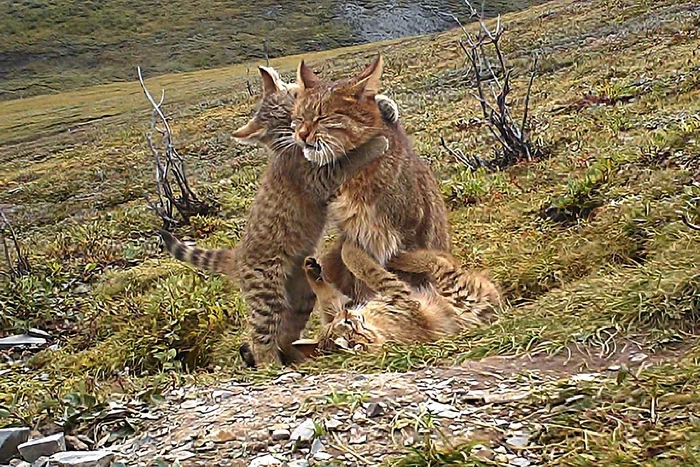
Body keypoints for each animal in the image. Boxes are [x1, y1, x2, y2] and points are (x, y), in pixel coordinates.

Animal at [160, 66, 400, 366]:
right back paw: (270, 366)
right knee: (261, 337)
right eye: (286, 121)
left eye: (296, 102)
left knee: (285, 333)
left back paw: (297, 356)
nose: (301, 131)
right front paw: (376, 142)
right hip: (265, 293)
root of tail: (237, 255)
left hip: (300, 296)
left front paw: (386, 105)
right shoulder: (317, 178)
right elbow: (347, 159)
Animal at [292, 243, 500, 356]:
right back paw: (404, 258)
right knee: (438, 263)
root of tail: (496, 311)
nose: (346, 315)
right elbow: (370, 270)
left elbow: (328, 300)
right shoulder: (398, 293)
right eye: (349, 328)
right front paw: (349, 250)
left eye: (343, 322)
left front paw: (312, 271)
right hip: (457, 290)